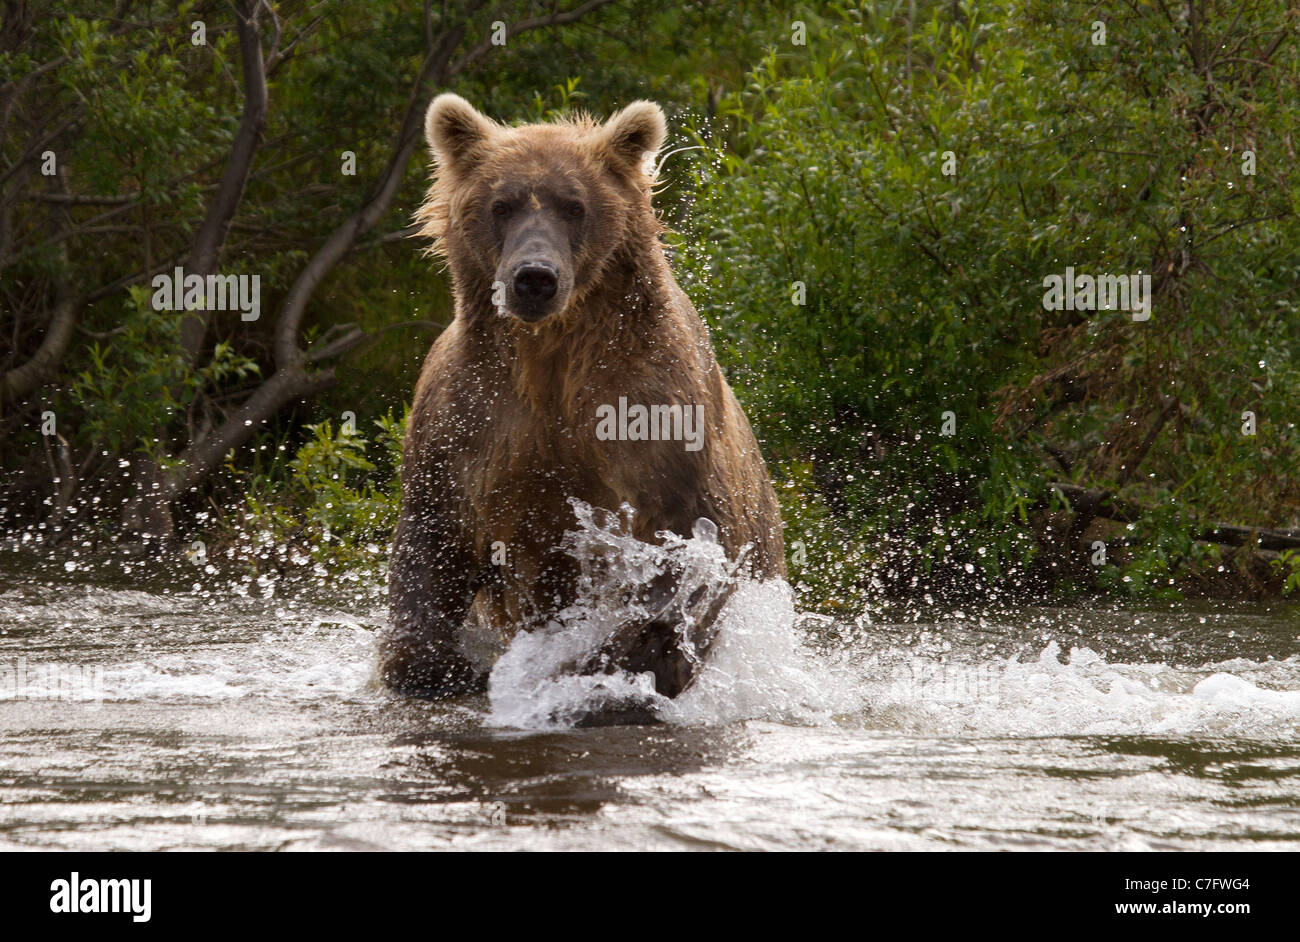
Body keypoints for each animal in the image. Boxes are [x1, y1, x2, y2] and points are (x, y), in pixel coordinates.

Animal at [377, 95, 780, 712]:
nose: (534, 278)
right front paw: (435, 667)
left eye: (574, 206)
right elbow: (434, 539)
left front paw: (602, 669)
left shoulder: (653, 408)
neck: (551, 360)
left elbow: (690, 547)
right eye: (501, 204)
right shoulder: (471, 419)